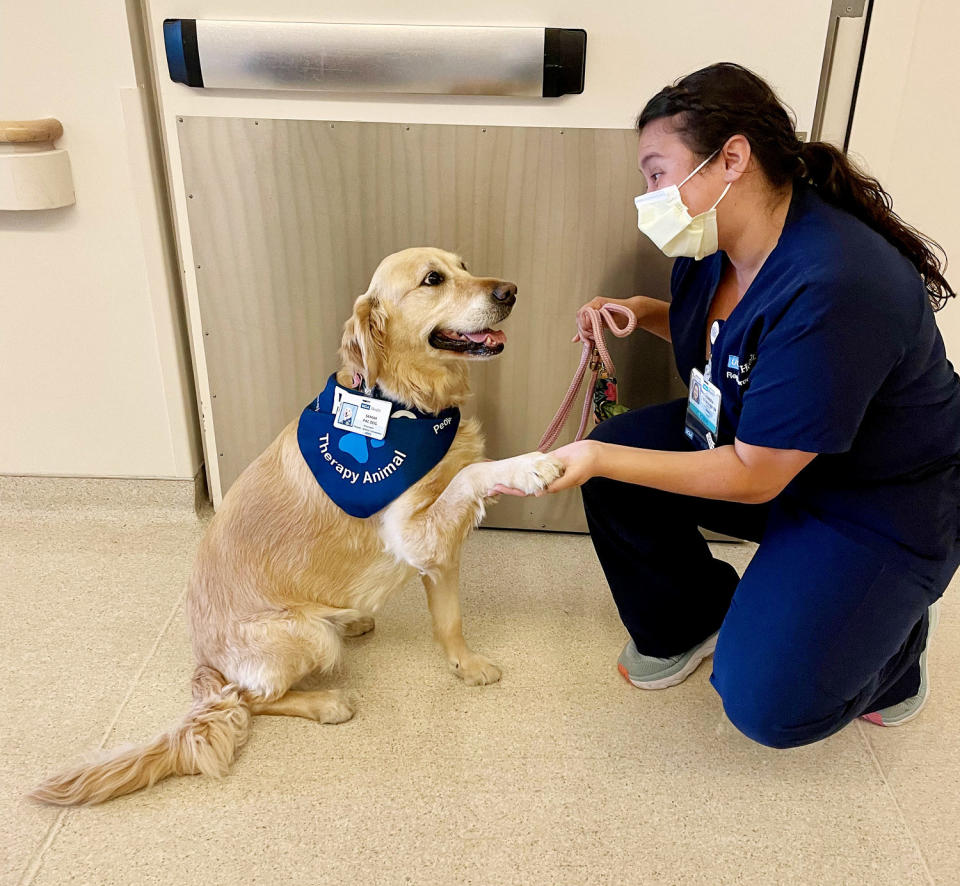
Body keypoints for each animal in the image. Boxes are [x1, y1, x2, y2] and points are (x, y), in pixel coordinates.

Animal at [31, 248, 564, 804]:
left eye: (463, 265)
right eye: (432, 279)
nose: (510, 291)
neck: (405, 405)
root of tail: (205, 662)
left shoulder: (437, 553)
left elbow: (450, 620)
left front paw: (467, 666)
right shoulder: (415, 534)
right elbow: (468, 475)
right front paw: (527, 466)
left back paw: (352, 619)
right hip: (305, 635)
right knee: (250, 698)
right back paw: (325, 702)